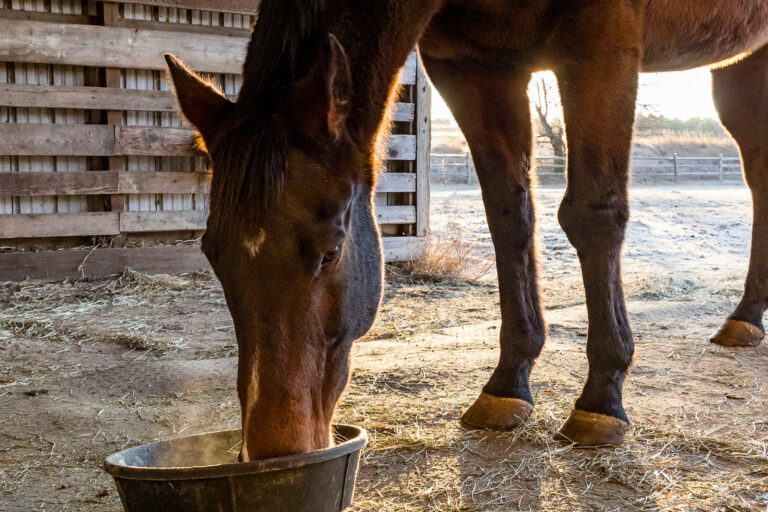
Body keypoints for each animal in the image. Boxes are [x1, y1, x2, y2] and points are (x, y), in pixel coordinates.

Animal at [165, 0, 768, 460]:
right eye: (211, 254)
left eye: (331, 251)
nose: (276, 447)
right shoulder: (475, 67)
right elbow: (508, 214)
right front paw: (507, 385)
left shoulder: (602, 43)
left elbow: (593, 213)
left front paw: (602, 400)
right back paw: (745, 318)